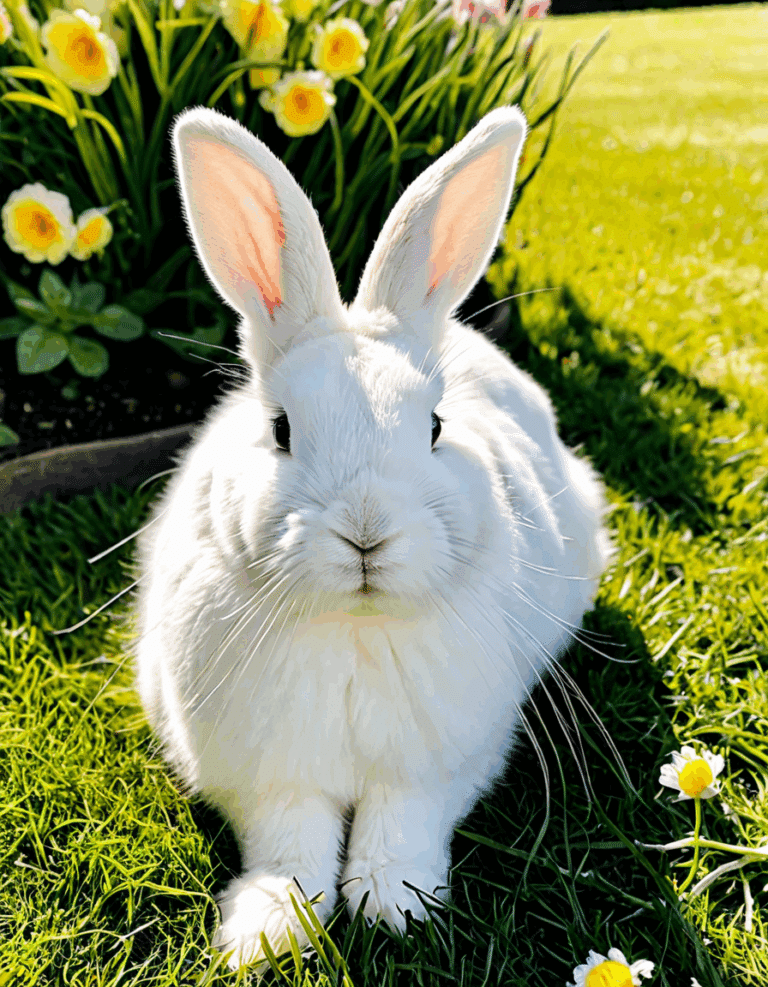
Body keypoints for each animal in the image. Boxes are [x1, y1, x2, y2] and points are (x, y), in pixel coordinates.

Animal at [134, 103, 613, 971]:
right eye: (281, 429)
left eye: (435, 426)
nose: (366, 533)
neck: (353, 631)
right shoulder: (269, 776)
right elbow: (289, 843)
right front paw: (268, 931)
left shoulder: (439, 766)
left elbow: (402, 826)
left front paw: (394, 906)